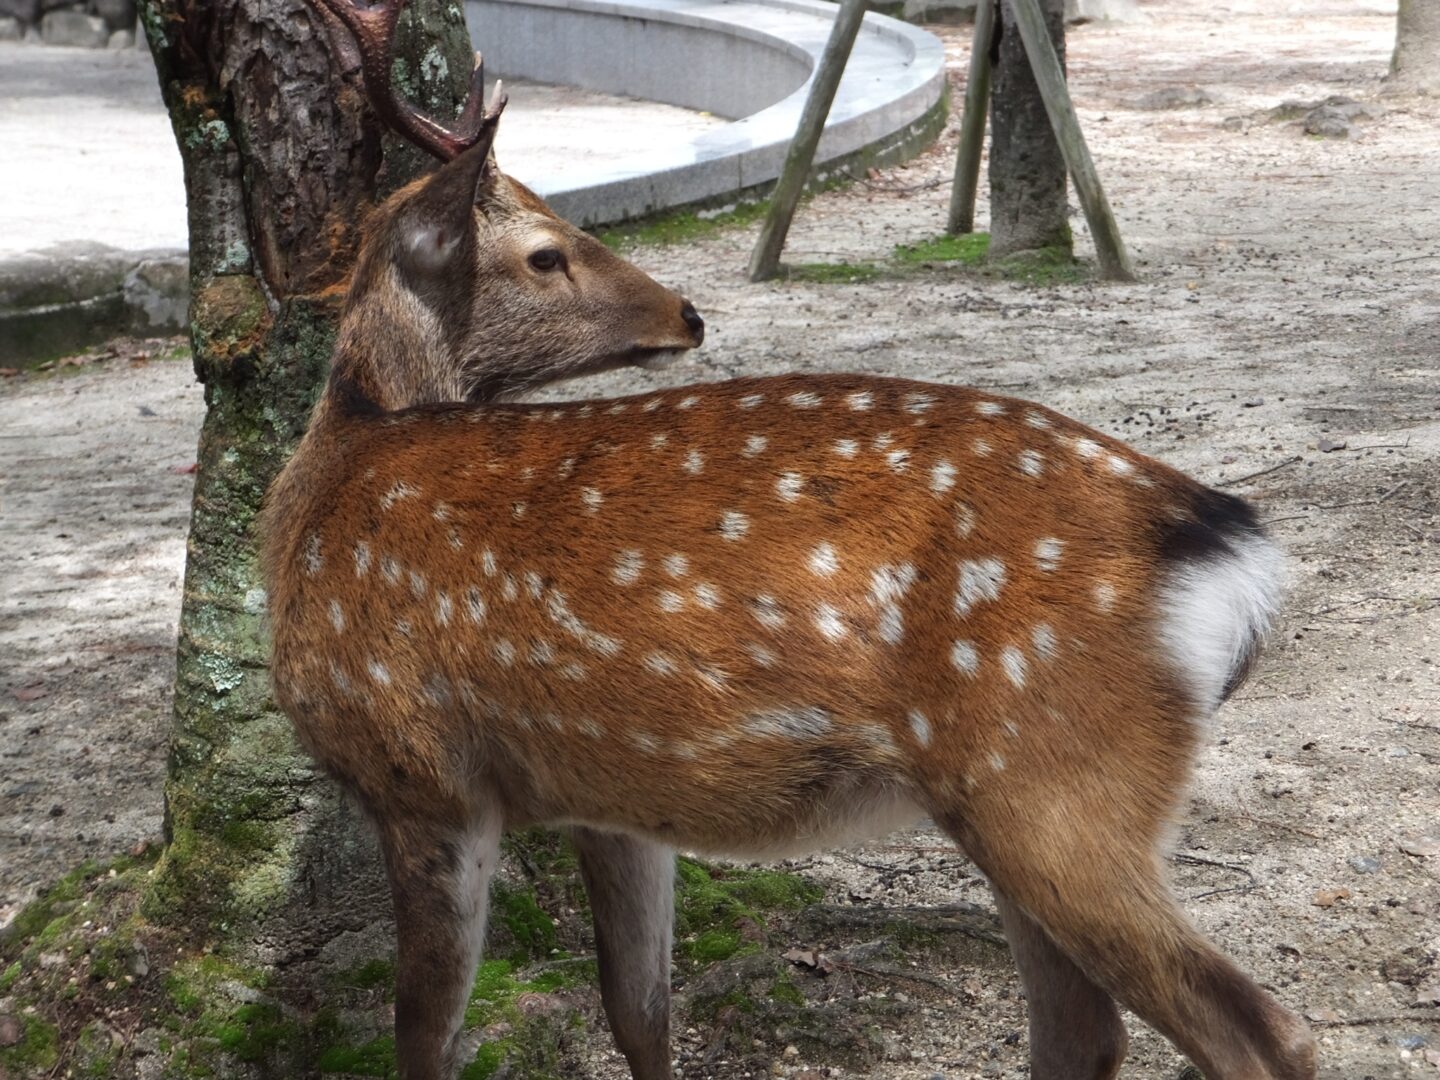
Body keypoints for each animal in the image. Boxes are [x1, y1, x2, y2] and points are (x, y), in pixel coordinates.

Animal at [264, 2, 1319, 1080]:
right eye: (545, 251)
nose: (685, 313)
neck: (336, 468)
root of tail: (1226, 543)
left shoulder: (419, 772)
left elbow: (424, 1038)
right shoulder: (607, 796)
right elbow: (638, 1010)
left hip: (1055, 773)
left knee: (1262, 1030)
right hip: (1023, 796)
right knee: (1085, 1030)